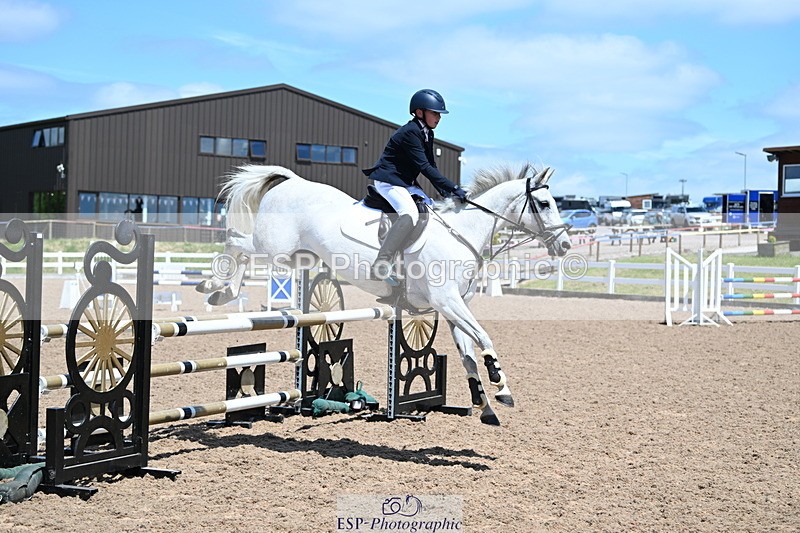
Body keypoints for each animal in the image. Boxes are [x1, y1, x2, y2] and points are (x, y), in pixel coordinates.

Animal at [197, 163, 572, 425]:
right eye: (543, 203)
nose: (565, 245)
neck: (460, 234)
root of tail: (291, 181)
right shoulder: (447, 301)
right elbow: (484, 338)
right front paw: (502, 386)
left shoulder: (452, 309)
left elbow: (468, 354)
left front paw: (485, 406)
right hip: (274, 249)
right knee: (237, 242)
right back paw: (216, 290)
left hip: (298, 257)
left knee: (242, 246)